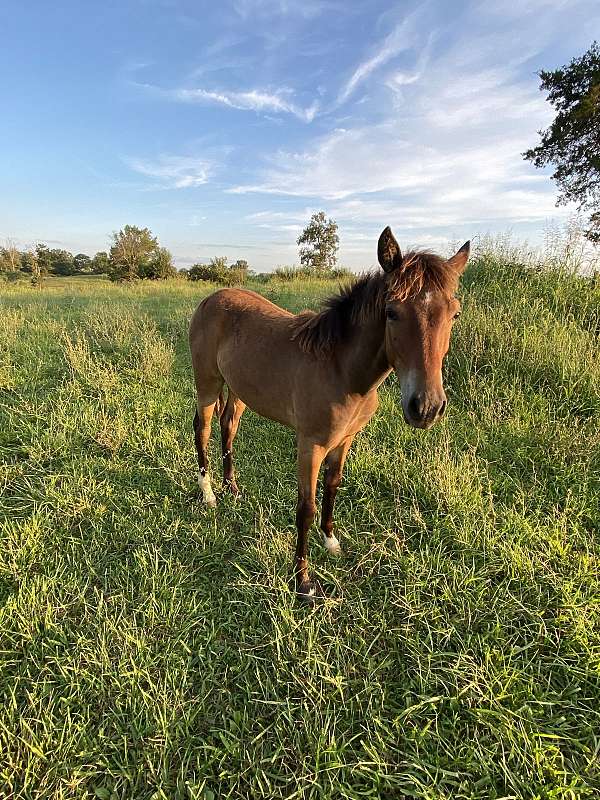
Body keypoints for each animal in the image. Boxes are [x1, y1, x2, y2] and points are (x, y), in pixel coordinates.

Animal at [188, 225, 468, 600]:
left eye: (454, 314)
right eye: (391, 312)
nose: (425, 407)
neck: (342, 370)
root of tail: (212, 297)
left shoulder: (345, 439)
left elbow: (333, 486)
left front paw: (331, 541)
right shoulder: (311, 444)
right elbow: (305, 508)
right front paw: (303, 581)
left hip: (239, 389)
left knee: (228, 425)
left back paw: (231, 486)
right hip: (207, 383)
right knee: (202, 428)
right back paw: (208, 494)